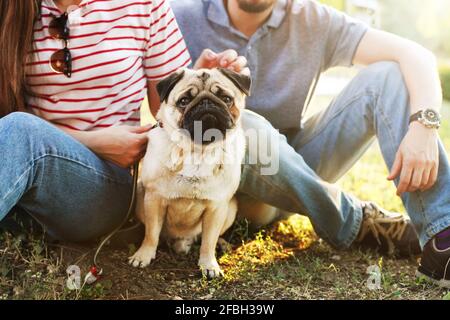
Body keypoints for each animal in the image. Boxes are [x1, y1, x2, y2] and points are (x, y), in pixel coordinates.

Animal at [128, 67, 251, 278]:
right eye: (184, 101)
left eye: (226, 98)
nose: (206, 103)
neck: (198, 151)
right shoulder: (154, 199)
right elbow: (151, 233)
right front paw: (144, 255)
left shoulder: (217, 207)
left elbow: (208, 241)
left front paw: (209, 265)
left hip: (230, 209)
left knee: (210, 237)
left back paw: (222, 244)